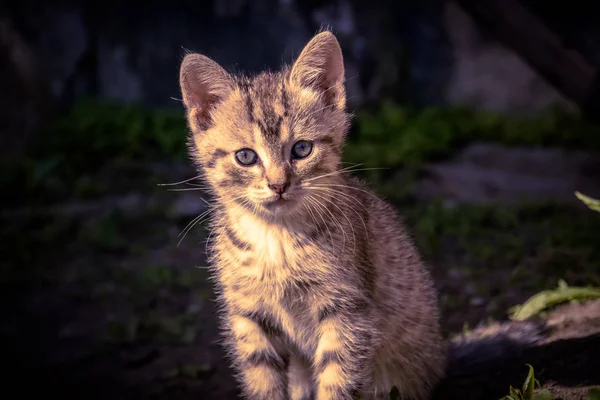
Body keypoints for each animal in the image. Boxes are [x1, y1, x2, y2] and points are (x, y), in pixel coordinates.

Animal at [178, 30, 446, 400]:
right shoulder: (249, 315)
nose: (278, 185)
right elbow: (263, 380)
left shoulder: (347, 312)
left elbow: (337, 381)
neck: (275, 237)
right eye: (246, 156)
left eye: (302, 149)